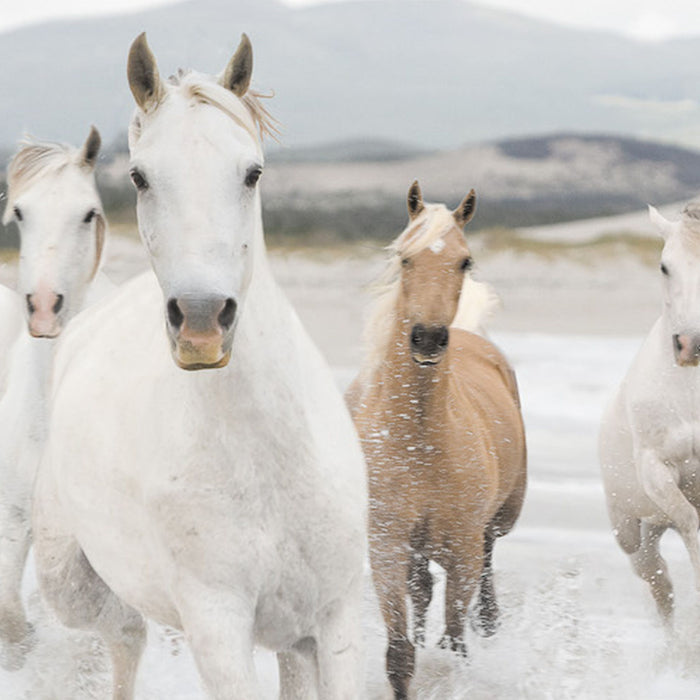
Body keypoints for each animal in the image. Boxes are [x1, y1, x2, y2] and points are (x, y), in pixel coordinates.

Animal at [32, 33, 367, 699]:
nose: (202, 320)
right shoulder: (217, 627)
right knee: (124, 638)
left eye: (252, 172)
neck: (269, 462)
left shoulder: (335, 618)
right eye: (138, 177)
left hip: (294, 638)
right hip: (78, 586)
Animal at [347, 181, 527, 700]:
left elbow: (455, 647)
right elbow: (400, 654)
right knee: (422, 593)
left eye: (465, 261)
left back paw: (489, 622)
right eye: (405, 258)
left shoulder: (462, 552)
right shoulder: (387, 548)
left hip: (494, 525)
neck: (418, 441)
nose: (427, 338)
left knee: (485, 569)